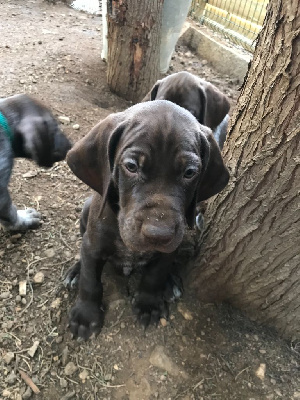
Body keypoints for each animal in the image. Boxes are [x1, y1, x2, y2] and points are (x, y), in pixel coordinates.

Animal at [64, 101, 229, 340]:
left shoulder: (168, 250)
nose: (159, 234)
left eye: (190, 172)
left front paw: (148, 304)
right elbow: (90, 280)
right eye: (131, 166)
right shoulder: (93, 245)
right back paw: (75, 271)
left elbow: (154, 275)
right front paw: (86, 315)